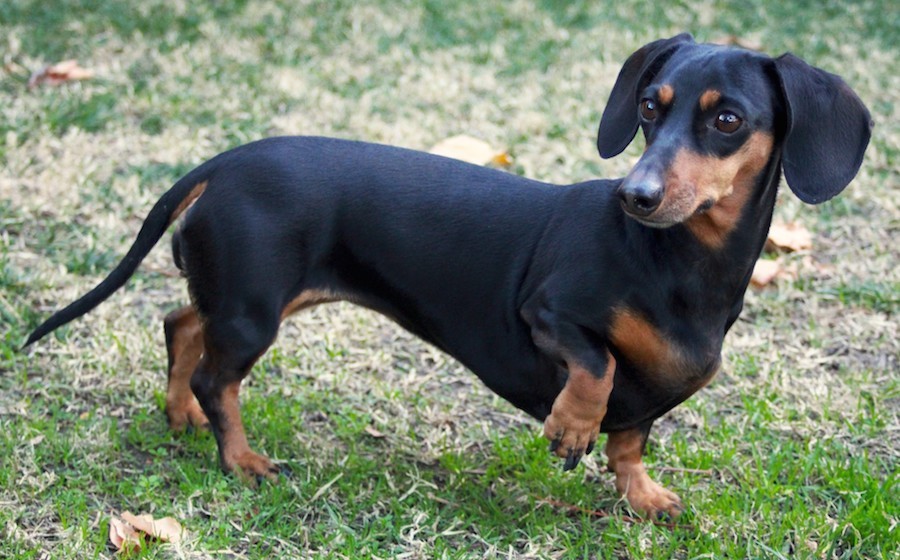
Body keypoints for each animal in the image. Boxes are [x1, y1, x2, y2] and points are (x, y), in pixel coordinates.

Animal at [26, 34, 872, 516]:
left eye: (726, 119)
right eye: (647, 107)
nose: (635, 195)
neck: (678, 263)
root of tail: (222, 163)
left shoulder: (656, 394)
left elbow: (630, 442)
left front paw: (643, 497)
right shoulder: (546, 314)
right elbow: (597, 367)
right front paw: (570, 426)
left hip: (244, 295)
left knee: (181, 324)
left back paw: (180, 419)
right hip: (255, 309)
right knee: (216, 376)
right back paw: (240, 459)